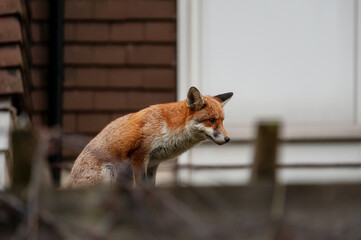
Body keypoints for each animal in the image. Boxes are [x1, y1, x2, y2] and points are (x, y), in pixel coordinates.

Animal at [64, 86, 233, 188]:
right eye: (212, 120)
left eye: (222, 121)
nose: (228, 139)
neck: (168, 128)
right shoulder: (139, 155)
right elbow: (141, 186)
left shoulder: (153, 163)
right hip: (108, 175)